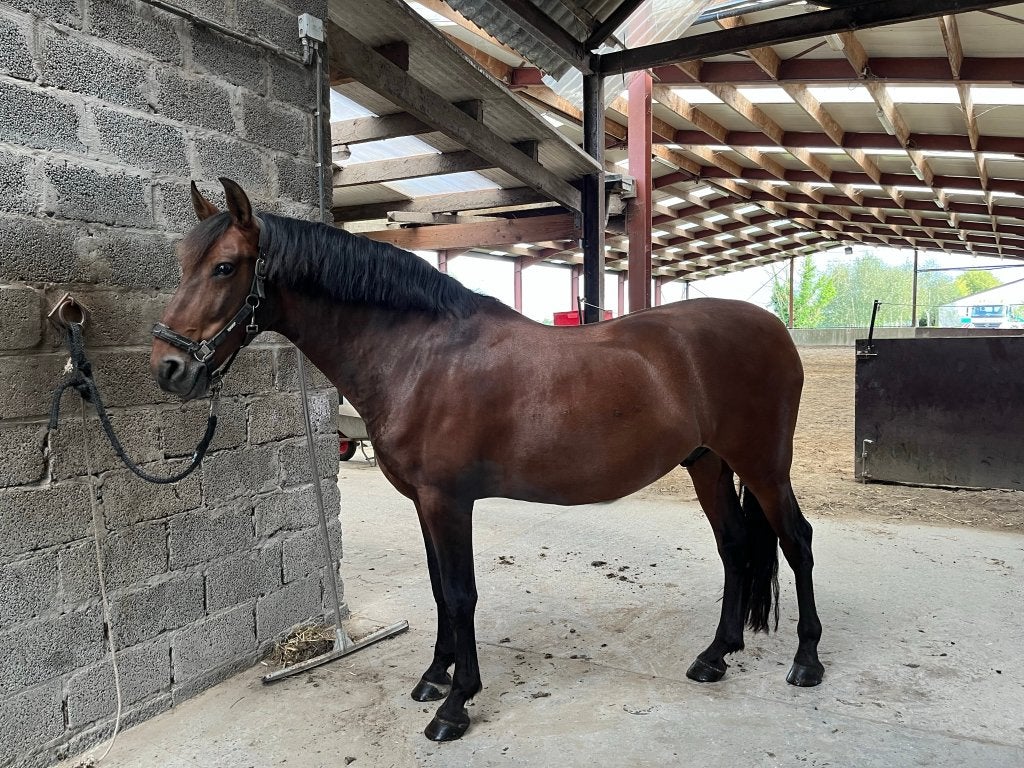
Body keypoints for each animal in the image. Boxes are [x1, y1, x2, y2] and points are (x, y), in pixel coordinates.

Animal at [151, 178, 823, 742]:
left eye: (225, 267)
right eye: (182, 263)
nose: (169, 368)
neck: (420, 355)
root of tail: (773, 329)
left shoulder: (449, 501)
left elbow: (460, 592)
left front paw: (456, 704)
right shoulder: (423, 502)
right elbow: (438, 589)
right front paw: (435, 676)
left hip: (764, 466)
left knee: (795, 541)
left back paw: (806, 661)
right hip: (707, 462)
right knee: (735, 545)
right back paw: (716, 656)